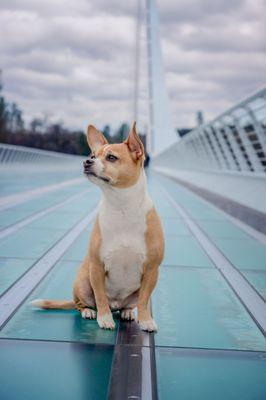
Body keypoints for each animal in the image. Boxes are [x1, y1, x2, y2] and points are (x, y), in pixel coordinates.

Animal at [31, 123, 164, 332]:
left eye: (111, 157)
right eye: (93, 156)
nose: (86, 161)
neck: (122, 206)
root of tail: (116, 304)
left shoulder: (151, 270)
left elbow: (144, 300)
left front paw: (146, 320)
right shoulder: (97, 267)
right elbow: (100, 296)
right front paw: (104, 318)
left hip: (132, 293)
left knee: (129, 304)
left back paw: (127, 312)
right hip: (83, 282)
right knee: (81, 303)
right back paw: (89, 311)